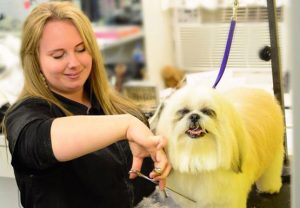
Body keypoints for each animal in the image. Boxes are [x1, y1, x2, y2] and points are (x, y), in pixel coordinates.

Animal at [151, 85, 284, 208]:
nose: (194, 116)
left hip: (274, 152)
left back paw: (270, 188)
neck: (200, 156)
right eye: (184, 111)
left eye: (208, 111)